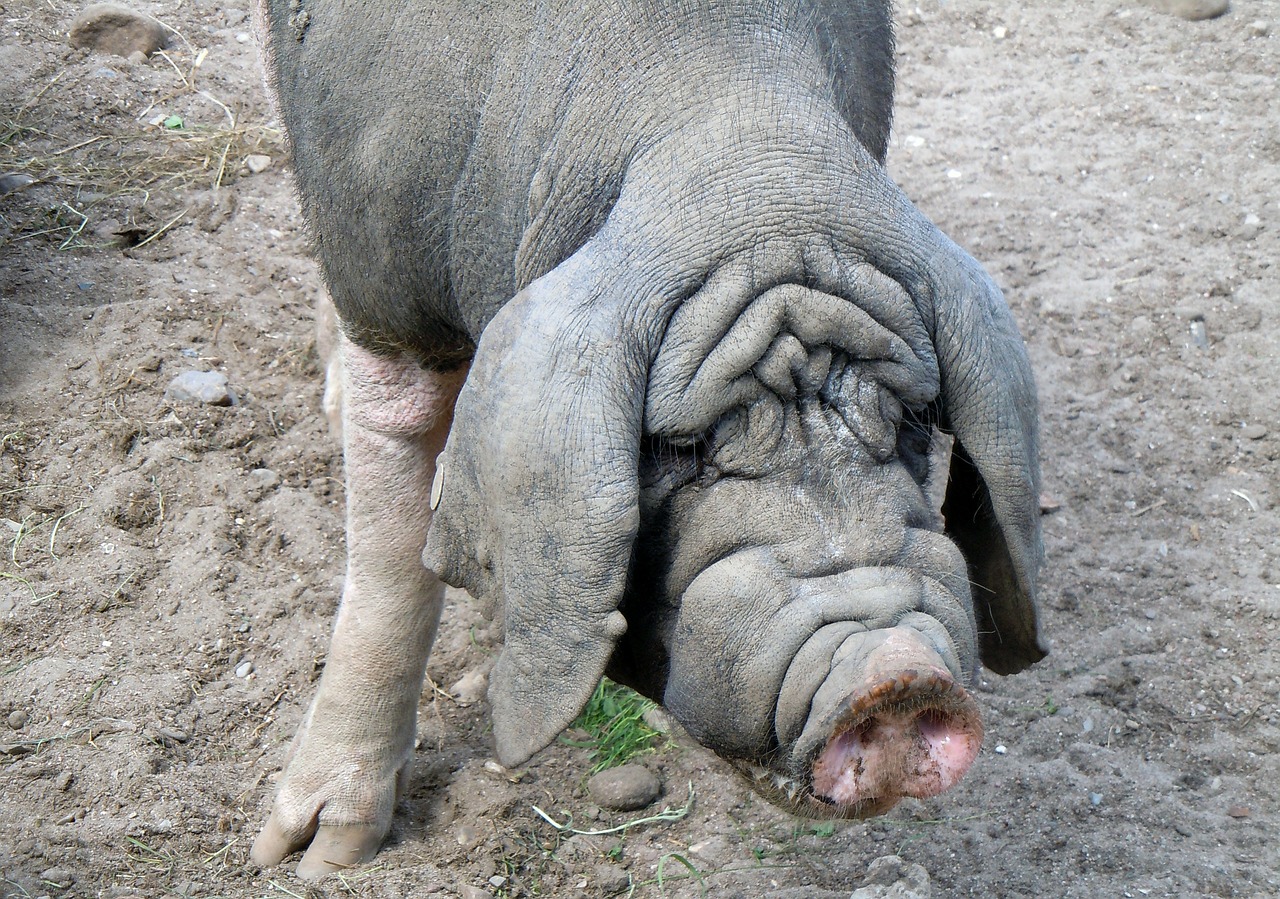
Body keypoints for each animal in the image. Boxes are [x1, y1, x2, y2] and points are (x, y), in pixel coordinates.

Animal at [252, 0, 1049, 886]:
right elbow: (391, 548)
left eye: (912, 419)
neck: (729, 109)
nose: (894, 671)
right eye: (683, 446)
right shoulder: (381, 273)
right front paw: (313, 857)